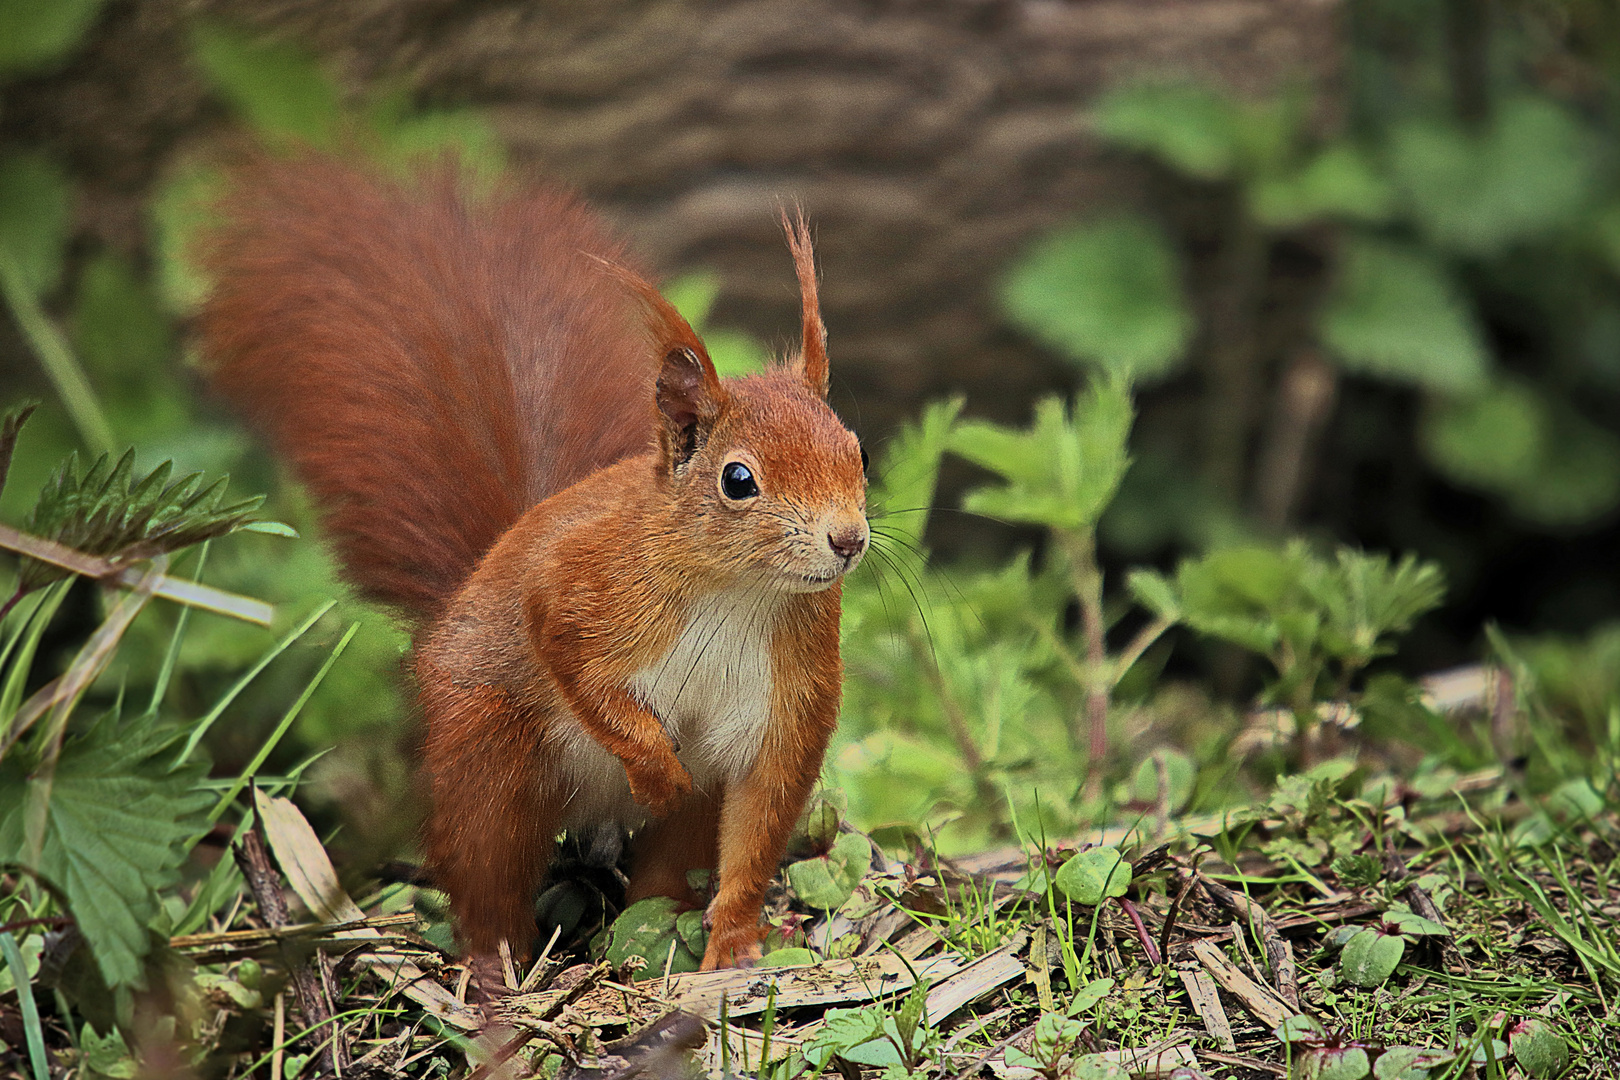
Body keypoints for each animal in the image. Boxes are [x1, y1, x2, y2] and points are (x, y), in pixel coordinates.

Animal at [199, 152, 874, 971]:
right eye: (738, 480)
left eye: (857, 451)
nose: (848, 540)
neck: (738, 593)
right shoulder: (586, 586)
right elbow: (570, 656)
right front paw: (653, 767)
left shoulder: (787, 706)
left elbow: (759, 828)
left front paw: (738, 944)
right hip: (487, 754)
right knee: (485, 871)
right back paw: (496, 968)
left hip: (678, 812)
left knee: (665, 868)